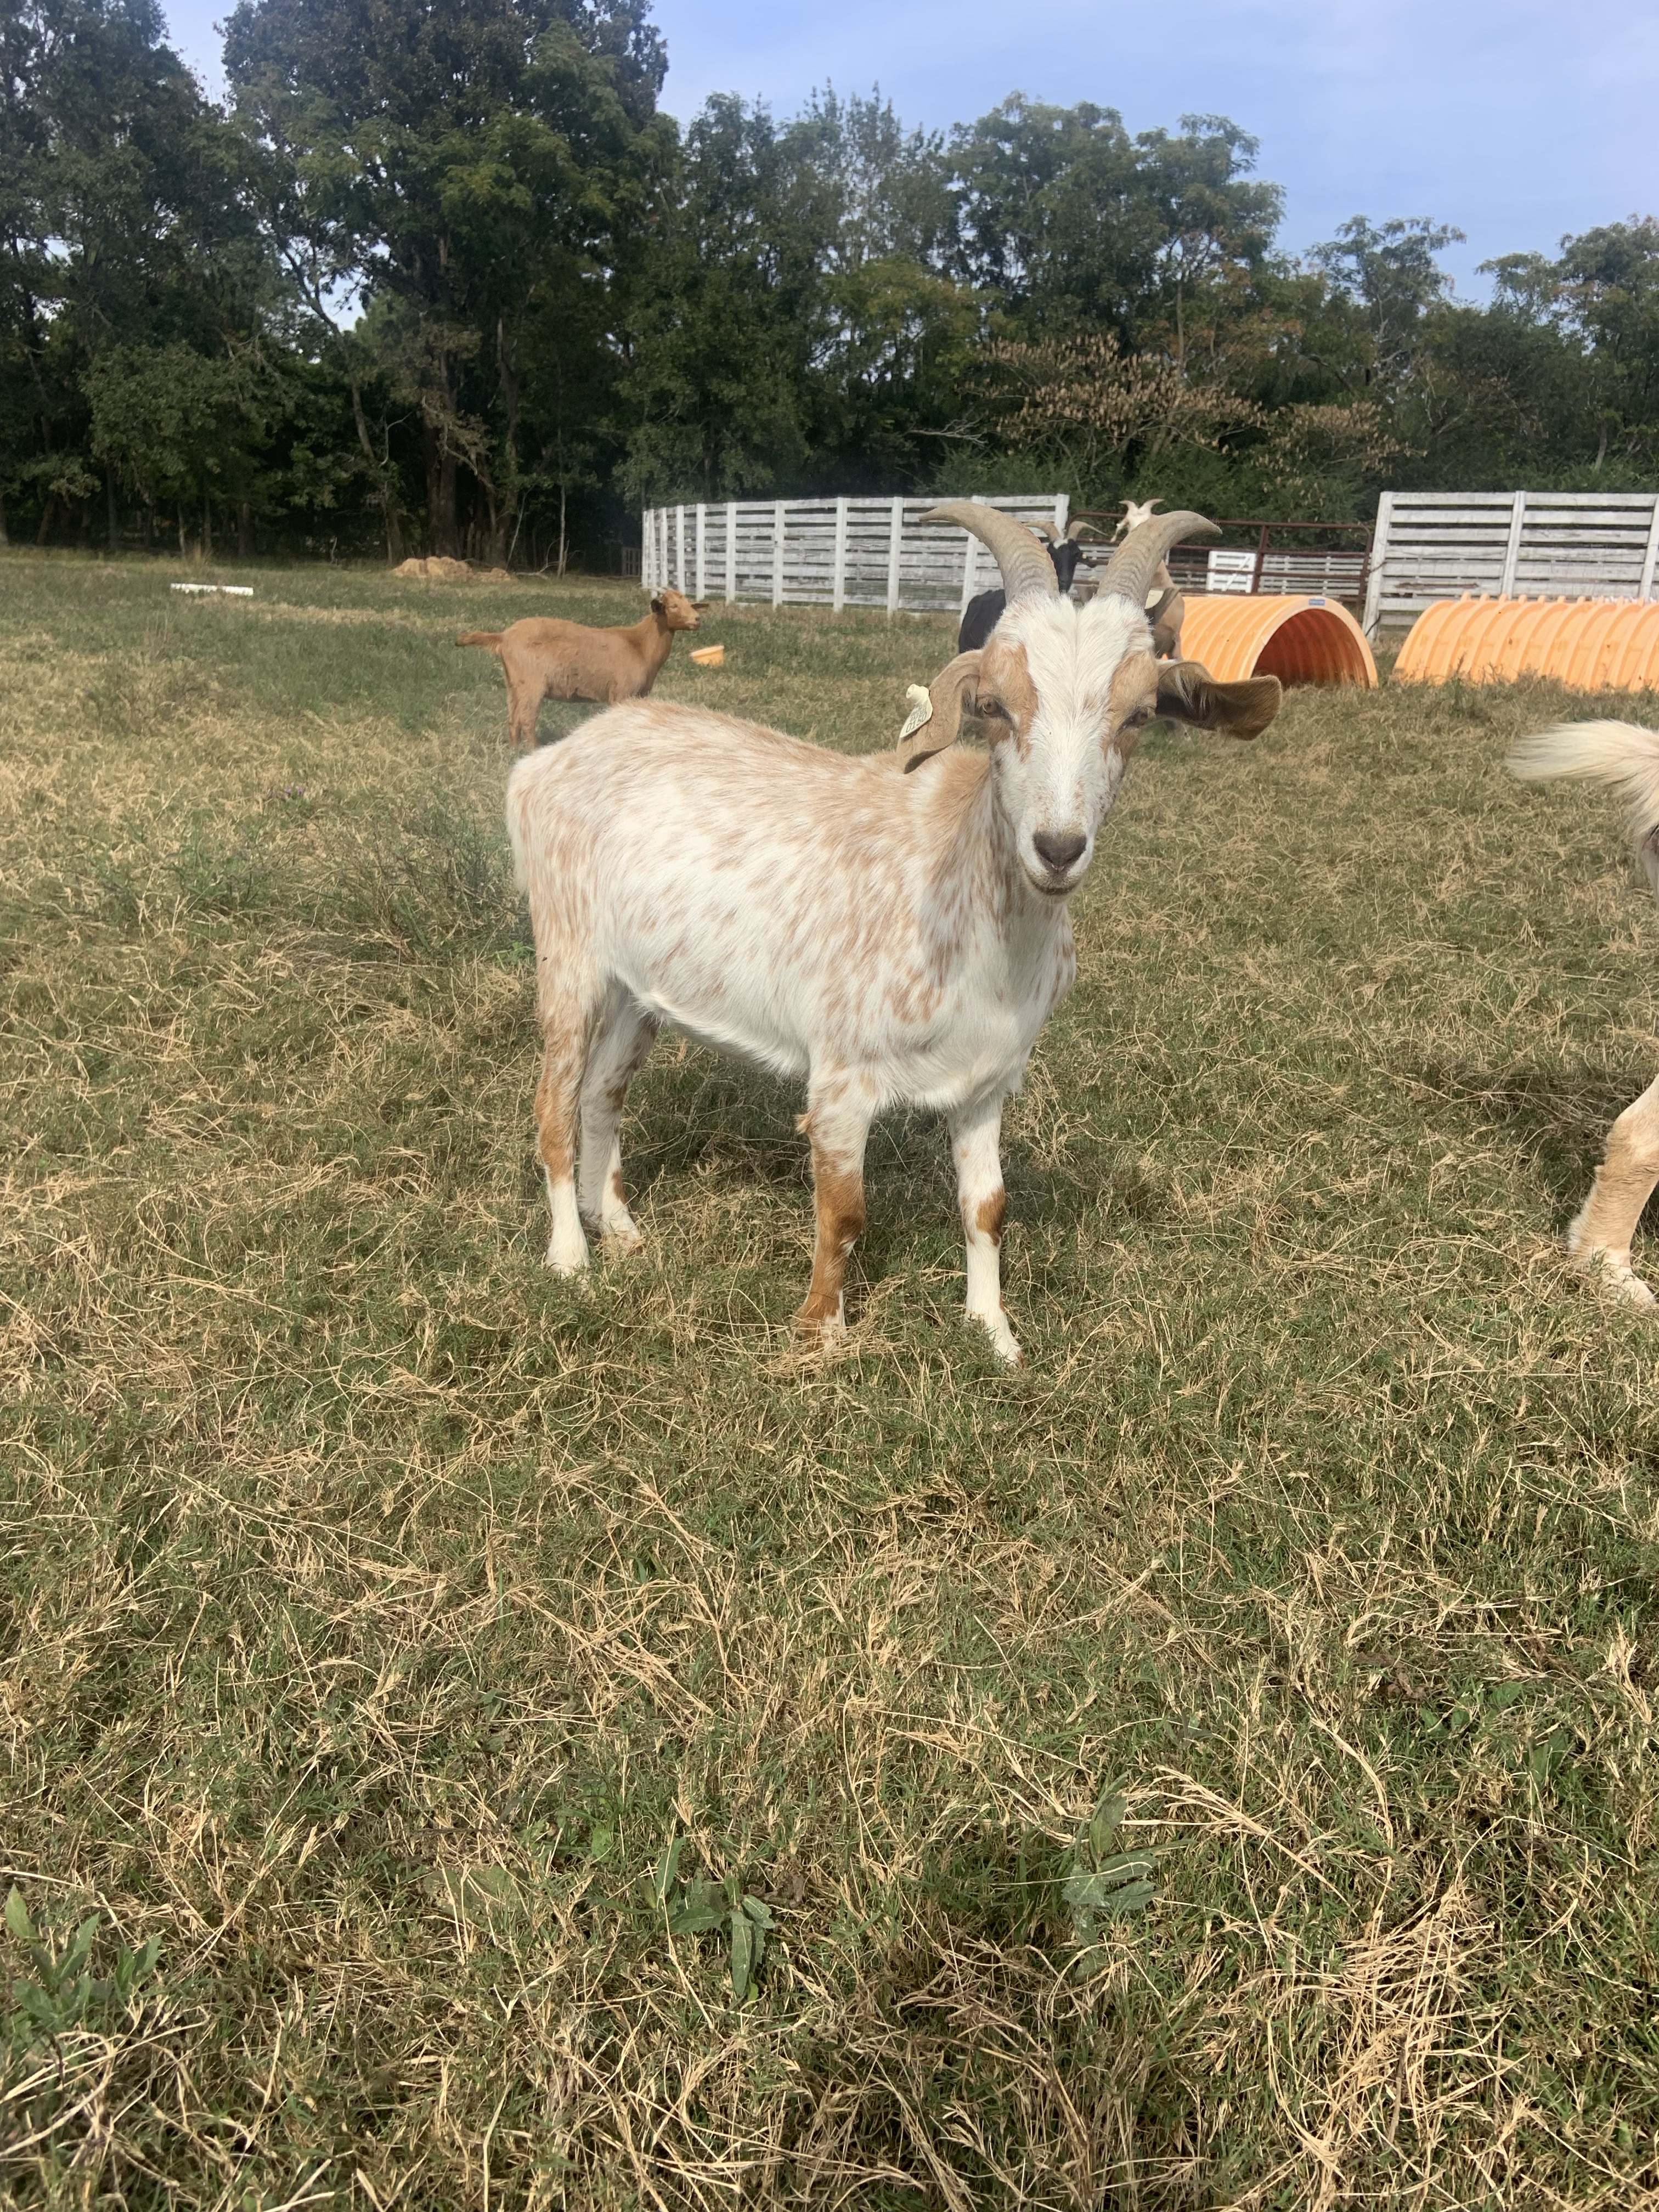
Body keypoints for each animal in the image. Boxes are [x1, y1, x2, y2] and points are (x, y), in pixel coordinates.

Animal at [458, 588, 703, 747]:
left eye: (690, 604)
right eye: (673, 606)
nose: (697, 620)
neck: (639, 645)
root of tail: (504, 636)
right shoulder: (621, 693)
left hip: (514, 681)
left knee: (513, 716)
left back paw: (514, 750)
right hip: (532, 682)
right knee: (527, 718)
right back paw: (531, 752)